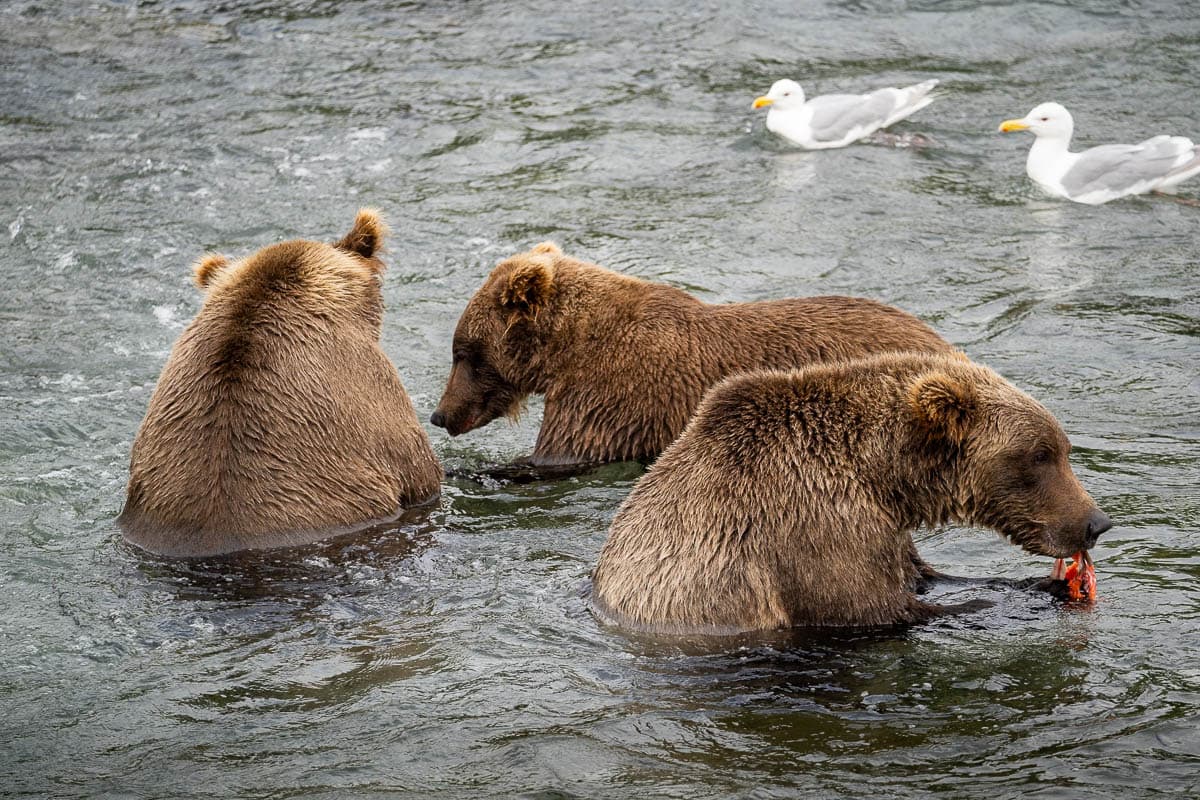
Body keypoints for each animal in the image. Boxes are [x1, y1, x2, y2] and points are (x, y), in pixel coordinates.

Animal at [590, 352, 1113, 633]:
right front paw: (1033, 595)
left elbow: (926, 575)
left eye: (1062, 448)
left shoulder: (887, 530)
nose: (1097, 522)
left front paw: (1029, 583)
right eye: (1039, 454)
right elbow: (880, 607)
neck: (881, 478)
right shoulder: (814, 525)